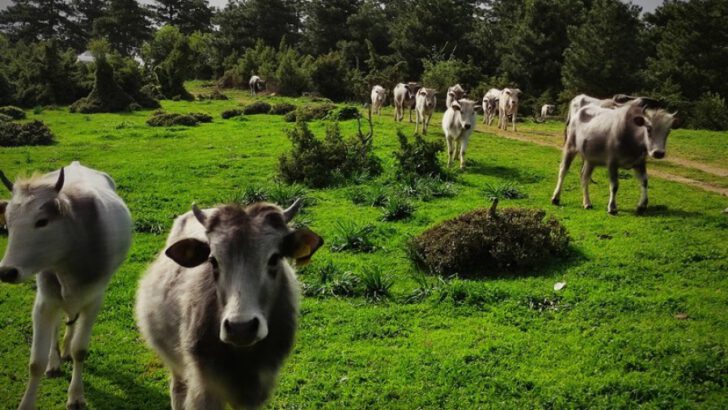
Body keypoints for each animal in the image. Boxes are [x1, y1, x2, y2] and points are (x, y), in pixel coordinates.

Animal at [0, 162, 132, 408]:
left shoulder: (94, 299)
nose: (7, 272)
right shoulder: (44, 301)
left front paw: (76, 395)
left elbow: (81, 350)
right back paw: (55, 361)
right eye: (8, 224)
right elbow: (36, 362)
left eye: (42, 221)